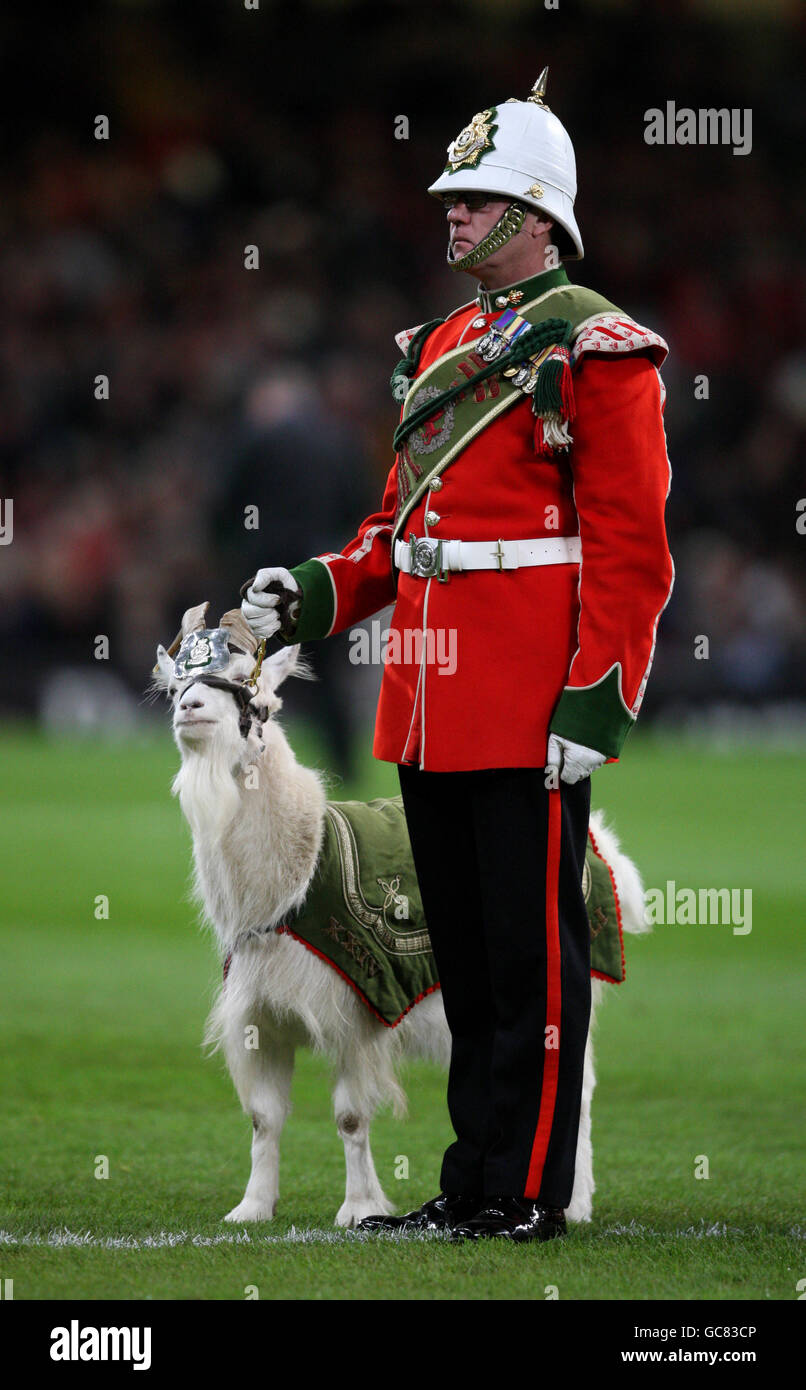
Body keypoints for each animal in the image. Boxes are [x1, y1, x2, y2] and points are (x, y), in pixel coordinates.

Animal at [154, 602, 649, 1229]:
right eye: (175, 686)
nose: (190, 709)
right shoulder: (260, 1014)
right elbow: (264, 1119)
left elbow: (349, 1117)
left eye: (253, 691)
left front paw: (358, 1208)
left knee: (576, 1086)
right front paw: (252, 1208)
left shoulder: (357, 1004)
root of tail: (601, 845)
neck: (299, 874)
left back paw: (569, 1203)